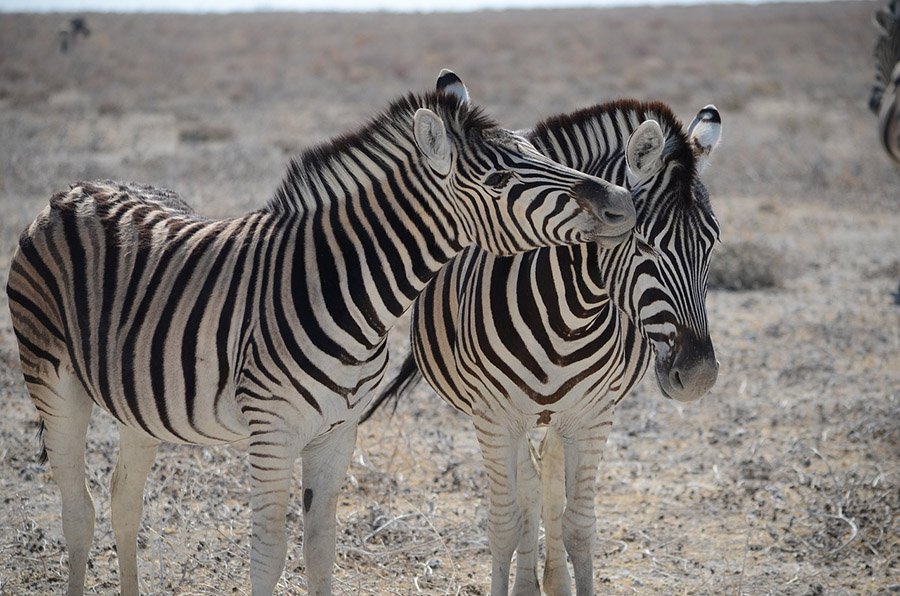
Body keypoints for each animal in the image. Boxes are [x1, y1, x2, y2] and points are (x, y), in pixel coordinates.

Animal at [6, 89, 638, 596]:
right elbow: (268, 554)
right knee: (78, 512)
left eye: (539, 151)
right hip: (52, 380)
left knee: (123, 501)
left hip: (140, 401)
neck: (351, 295)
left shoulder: (338, 431)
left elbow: (320, 551)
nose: (622, 203)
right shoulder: (273, 430)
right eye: (501, 181)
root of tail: (76, 189)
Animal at [369, 71, 722, 595]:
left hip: (558, 417)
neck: (569, 315)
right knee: (529, 490)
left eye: (713, 242)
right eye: (643, 243)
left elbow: (577, 525)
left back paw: (551, 578)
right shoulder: (494, 418)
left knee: (549, 484)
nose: (698, 375)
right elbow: (505, 522)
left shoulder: (592, 416)